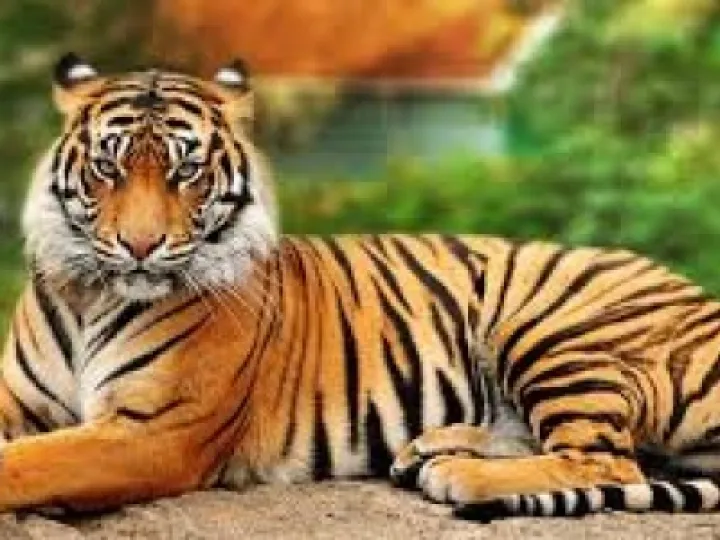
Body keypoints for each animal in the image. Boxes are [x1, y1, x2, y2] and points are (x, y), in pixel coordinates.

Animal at [2, 52, 720, 521]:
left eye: (188, 172)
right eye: (108, 167)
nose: (141, 246)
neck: (89, 293)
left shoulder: (156, 431)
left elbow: (31, 462)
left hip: (548, 324)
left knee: (605, 459)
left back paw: (456, 473)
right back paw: (427, 449)